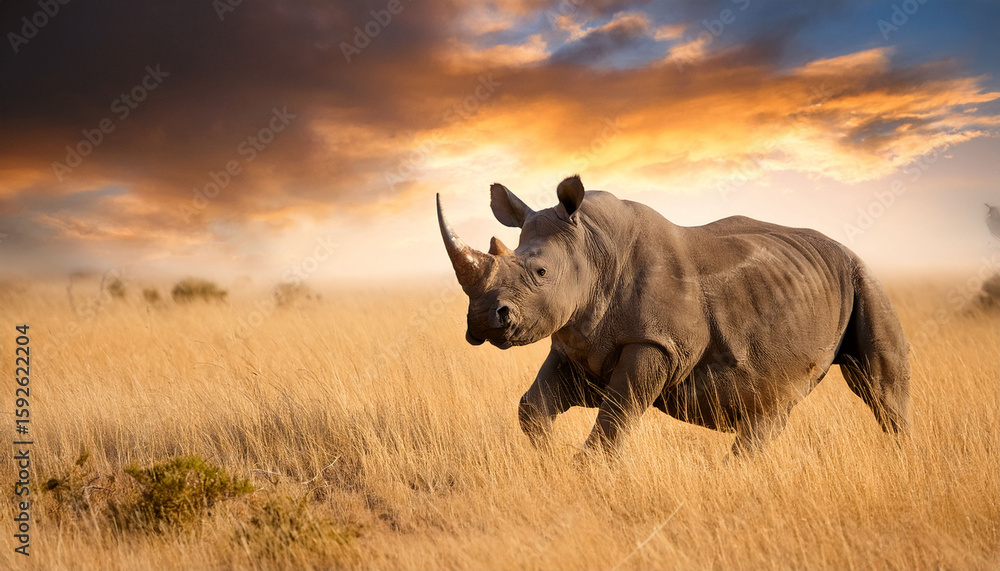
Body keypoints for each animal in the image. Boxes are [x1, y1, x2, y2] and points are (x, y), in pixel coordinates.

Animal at [436, 176, 910, 456]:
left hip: (862, 277)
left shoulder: (656, 342)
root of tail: (845, 249)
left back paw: (901, 457)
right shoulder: (579, 341)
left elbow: (616, 417)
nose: (484, 320)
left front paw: (583, 474)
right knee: (773, 404)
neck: (592, 246)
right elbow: (532, 408)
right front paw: (549, 460)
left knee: (879, 387)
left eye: (540, 273)